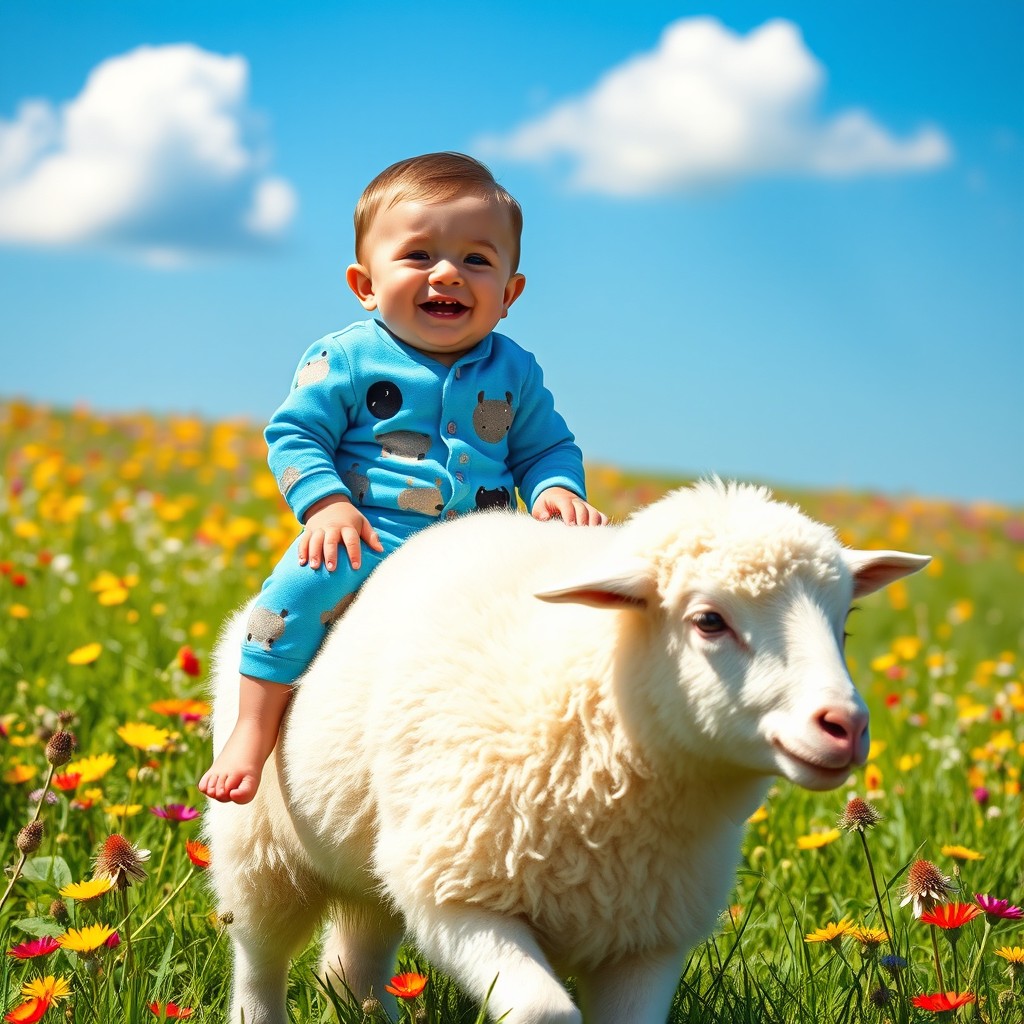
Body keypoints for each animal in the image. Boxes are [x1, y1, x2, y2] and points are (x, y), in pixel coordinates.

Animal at [204, 480, 928, 1024]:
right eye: (708, 621)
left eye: (843, 626)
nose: (845, 727)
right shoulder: (457, 895)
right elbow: (543, 1011)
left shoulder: (647, 938)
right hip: (262, 848)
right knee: (259, 956)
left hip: (376, 859)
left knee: (352, 962)